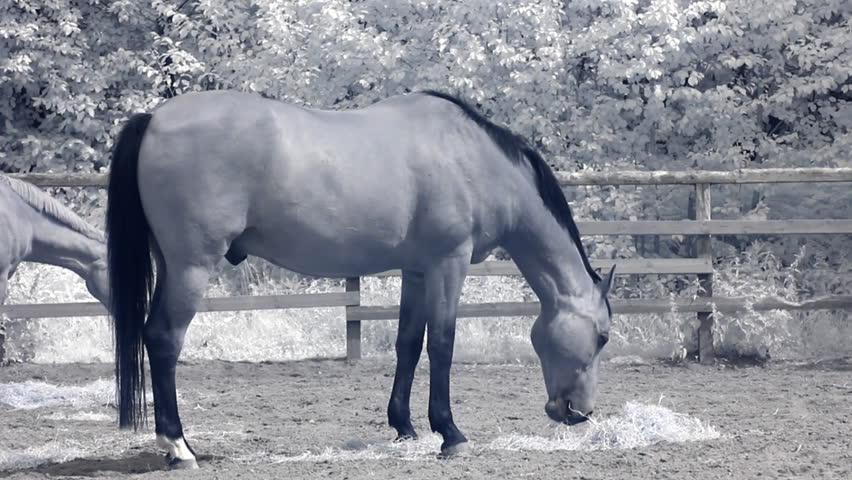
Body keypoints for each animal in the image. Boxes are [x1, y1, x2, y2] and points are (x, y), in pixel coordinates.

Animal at [106, 90, 614, 468]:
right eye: (604, 337)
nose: (579, 413)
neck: (472, 158)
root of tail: (153, 118)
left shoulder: (417, 269)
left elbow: (408, 344)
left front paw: (405, 428)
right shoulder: (449, 262)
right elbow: (442, 344)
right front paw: (450, 433)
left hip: (171, 264)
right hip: (191, 267)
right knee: (164, 339)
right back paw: (178, 447)